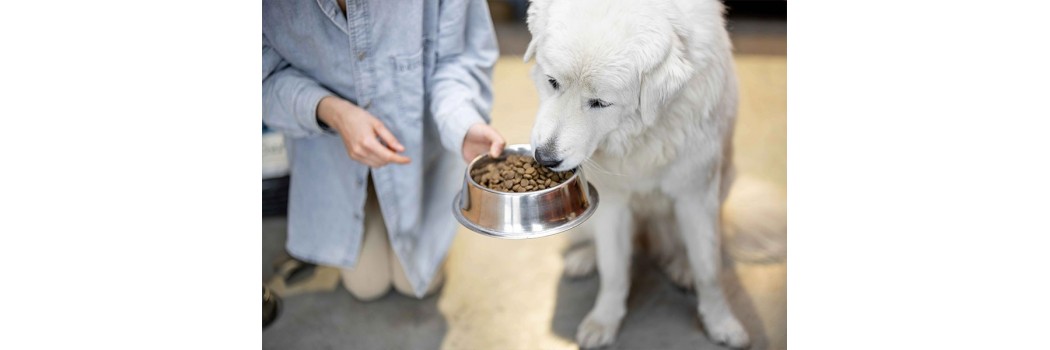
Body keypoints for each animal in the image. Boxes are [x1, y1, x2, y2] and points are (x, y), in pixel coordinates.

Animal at [525, 0, 781, 344]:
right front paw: (604, 321)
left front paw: (721, 323)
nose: (545, 158)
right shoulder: (613, 202)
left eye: (600, 102)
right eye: (552, 82)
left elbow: (709, 271)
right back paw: (586, 257)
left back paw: (683, 267)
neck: (642, 134)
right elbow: (614, 270)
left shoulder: (695, 194)